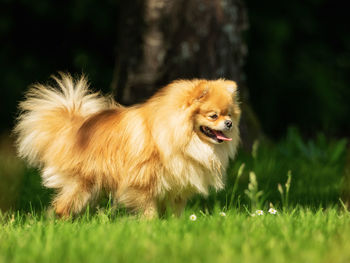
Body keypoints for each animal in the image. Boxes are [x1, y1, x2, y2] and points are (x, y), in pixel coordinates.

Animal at [14, 74, 241, 219]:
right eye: (213, 116)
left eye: (229, 114)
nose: (229, 123)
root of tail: (71, 127)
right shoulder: (143, 182)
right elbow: (149, 211)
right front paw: (151, 227)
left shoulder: (176, 187)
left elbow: (174, 213)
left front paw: (174, 226)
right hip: (80, 184)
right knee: (61, 207)